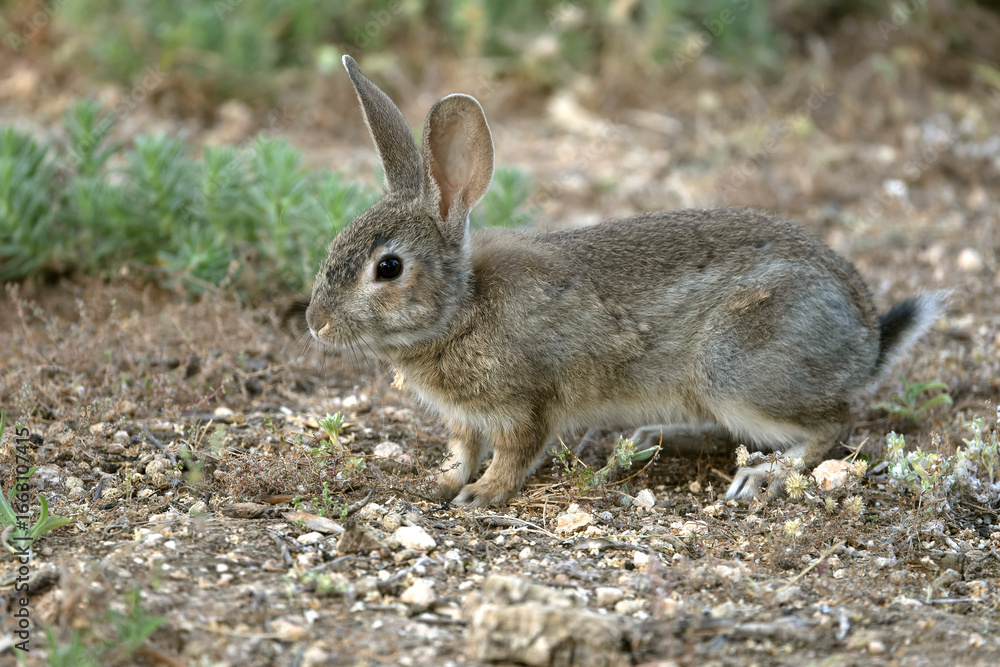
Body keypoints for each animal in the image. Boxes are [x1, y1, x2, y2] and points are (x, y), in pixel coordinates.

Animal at [305, 55, 942, 507]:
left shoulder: (526, 404)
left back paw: (763, 478)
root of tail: (866, 340)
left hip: (738, 368)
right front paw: (439, 483)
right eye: (334, 246)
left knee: (834, 423)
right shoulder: (465, 418)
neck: (462, 308)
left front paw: (480, 495)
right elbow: (462, 450)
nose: (316, 323)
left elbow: (514, 454)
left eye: (388, 268)